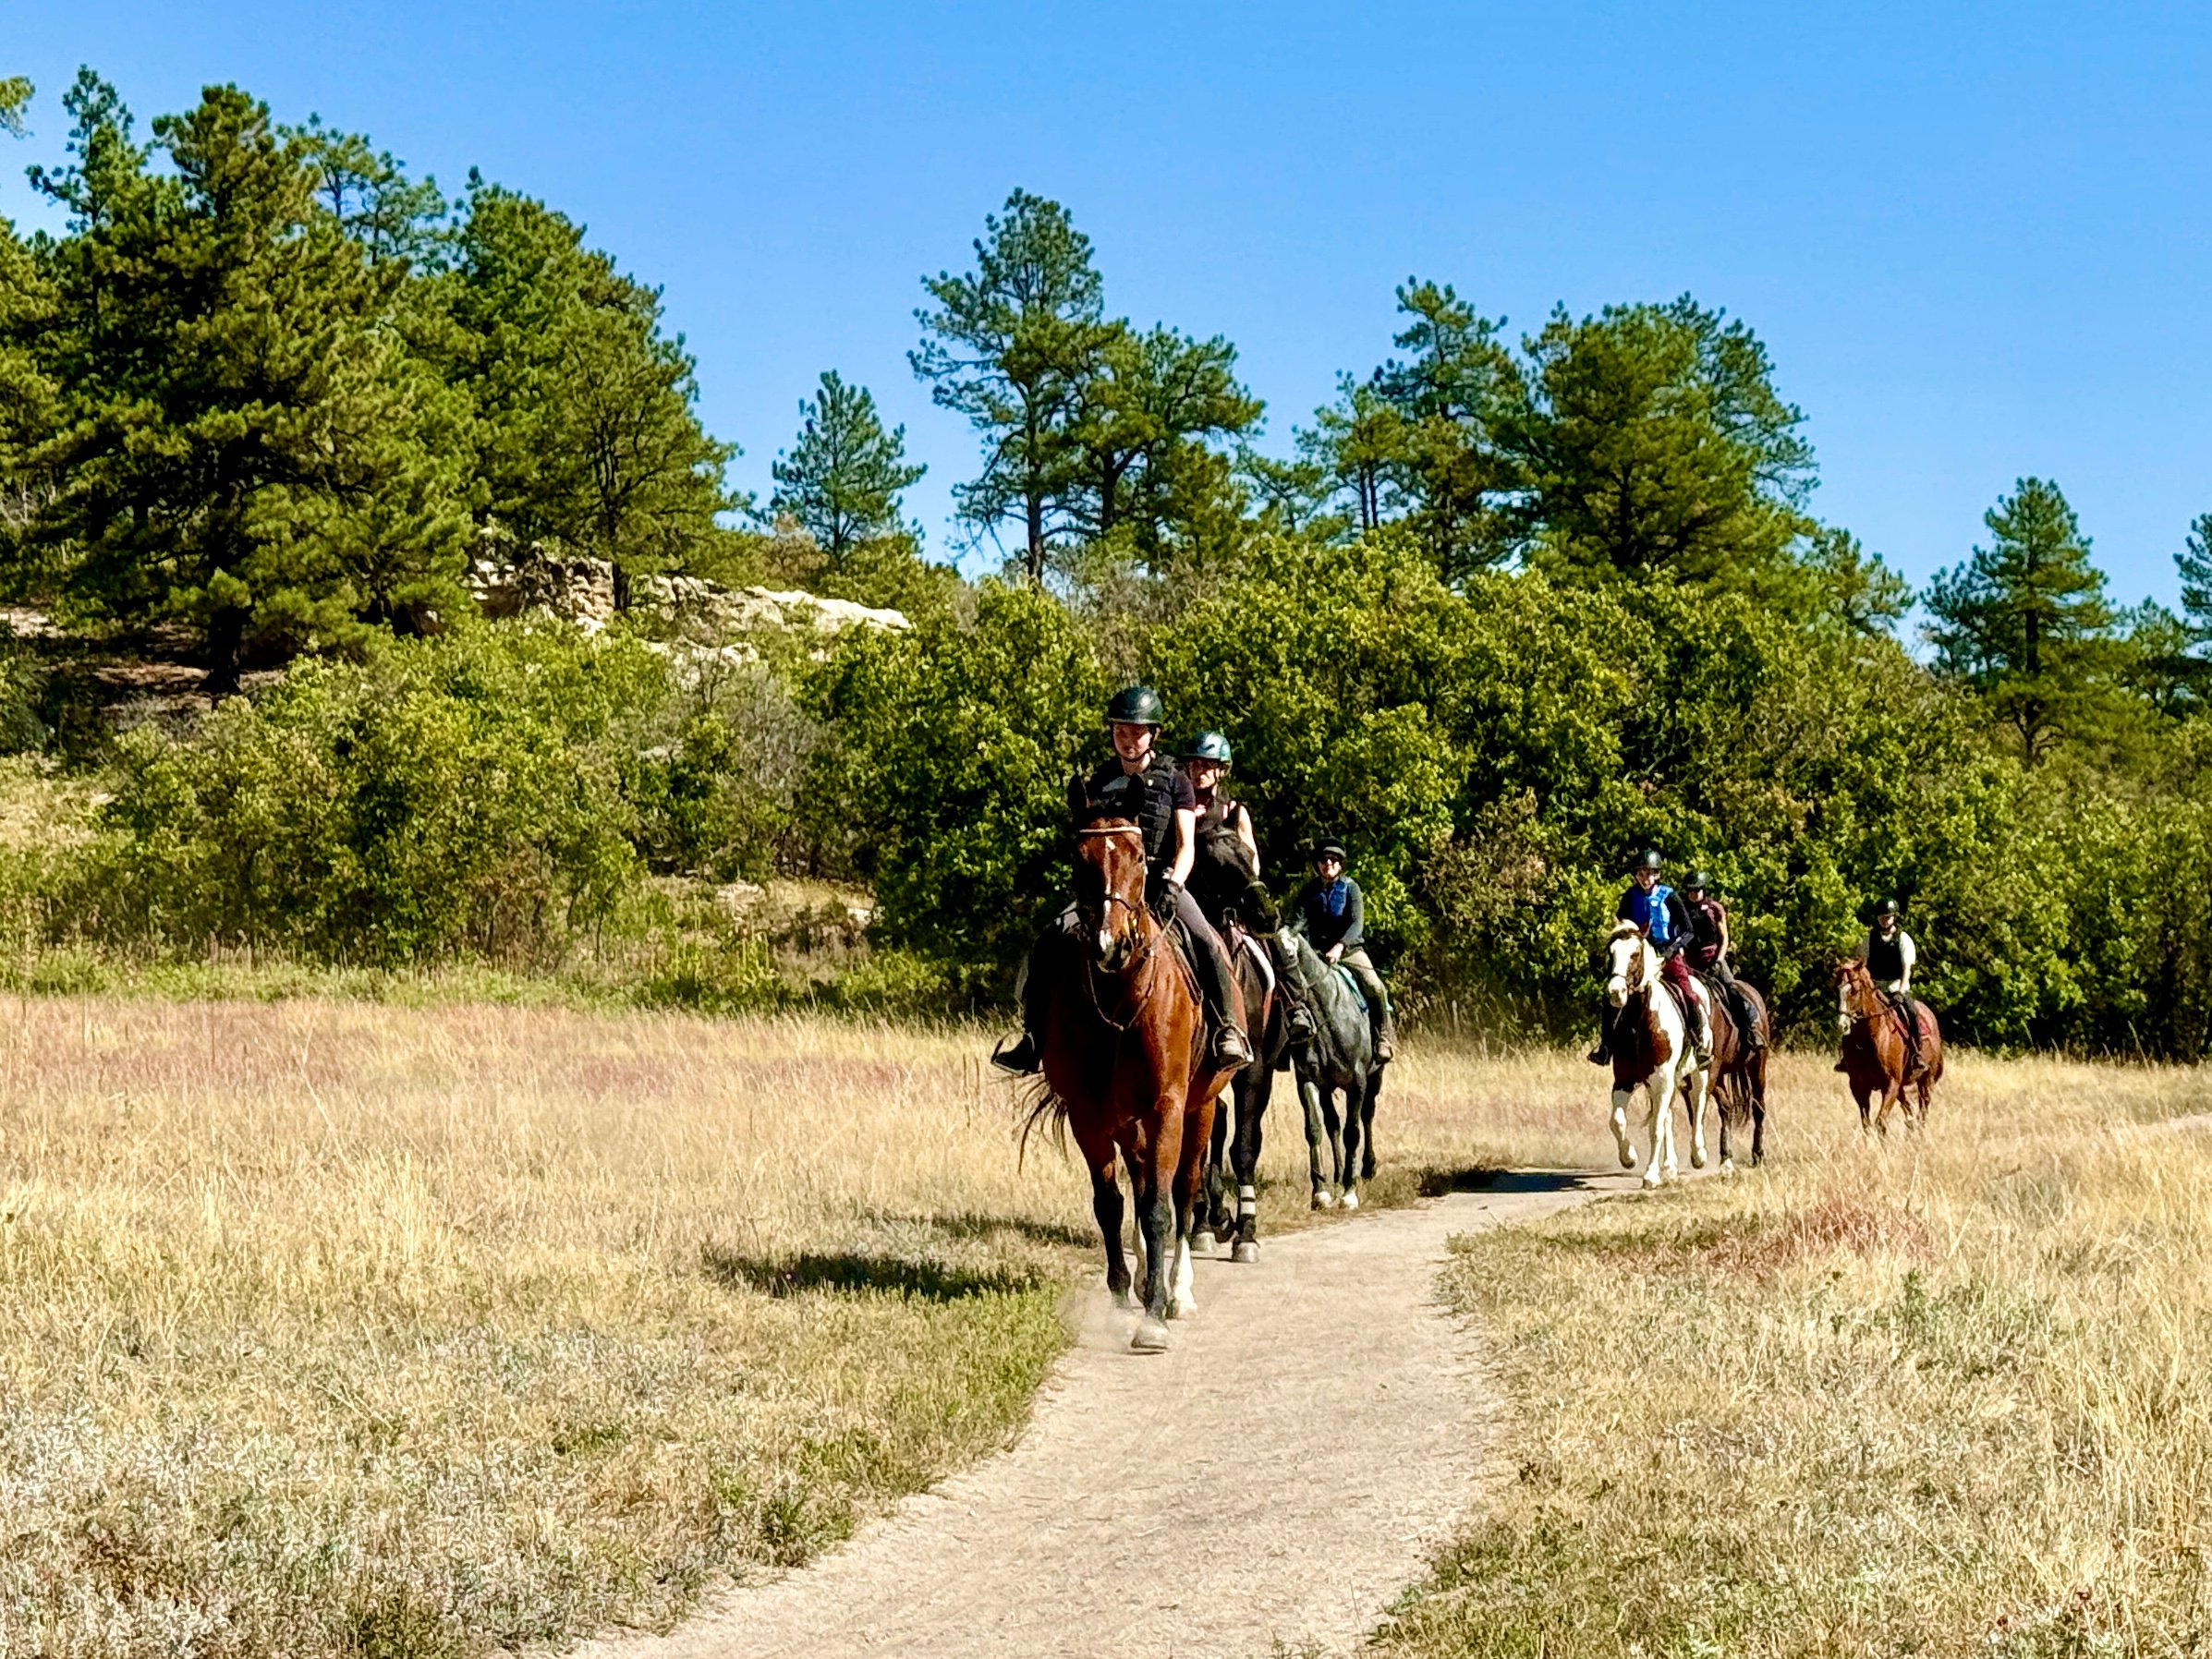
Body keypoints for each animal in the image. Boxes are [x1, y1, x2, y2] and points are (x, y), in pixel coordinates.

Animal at [1025, 816, 1235, 1352]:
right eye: (1079, 856)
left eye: (1139, 857)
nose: (1109, 944)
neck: (1119, 995)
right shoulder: (1088, 1116)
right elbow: (1110, 1206)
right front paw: (1123, 1298)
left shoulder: (1167, 1107)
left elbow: (1160, 1206)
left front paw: (1154, 1318)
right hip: (1128, 1123)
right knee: (1138, 1188)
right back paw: (1144, 1281)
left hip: (1199, 1109)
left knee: (1184, 1192)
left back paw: (1178, 1291)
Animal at [1282, 931, 1383, 1210]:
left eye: (1291, 954)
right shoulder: (1308, 1081)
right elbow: (1315, 1129)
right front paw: (1321, 1192)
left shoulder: (1357, 1083)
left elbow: (1353, 1132)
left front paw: (1350, 1192)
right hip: (1328, 1089)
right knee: (1332, 1125)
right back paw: (1338, 1175)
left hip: (1375, 1078)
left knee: (1367, 1116)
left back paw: (1367, 1168)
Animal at [1600, 923, 1707, 1187]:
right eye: (1611, 953)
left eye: (1635, 954)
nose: (1615, 992)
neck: (1640, 1021)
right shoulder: (1625, 1080)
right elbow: (1617, 1121)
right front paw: (1629, 1157)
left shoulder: (1663, 1080)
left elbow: (1655, 1128)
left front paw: (1650, 1175)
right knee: (1668, 1115)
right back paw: (1669, 1166)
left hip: (1699, 1073)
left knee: (1698, 1105)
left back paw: (1698, 1154)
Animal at [1698, 973, 1770, 1171]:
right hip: (1721, 1074)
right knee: (1727, 1108)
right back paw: (1726, 1155)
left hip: (1758, 1064)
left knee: (1758, 1107)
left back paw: (1758, 1154)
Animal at [1835, 957, 1944, 1134]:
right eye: (1836, 989)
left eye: (1855, 990)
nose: (1842, 1025)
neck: (1868, 1039)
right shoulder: (1859, 1087)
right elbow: (1867, 1125)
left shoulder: (1891, 1084)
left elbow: (1880, 1123)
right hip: (1902, 1086)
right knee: (1910, 1111)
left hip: (1926, 1081)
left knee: (1922, 1113)